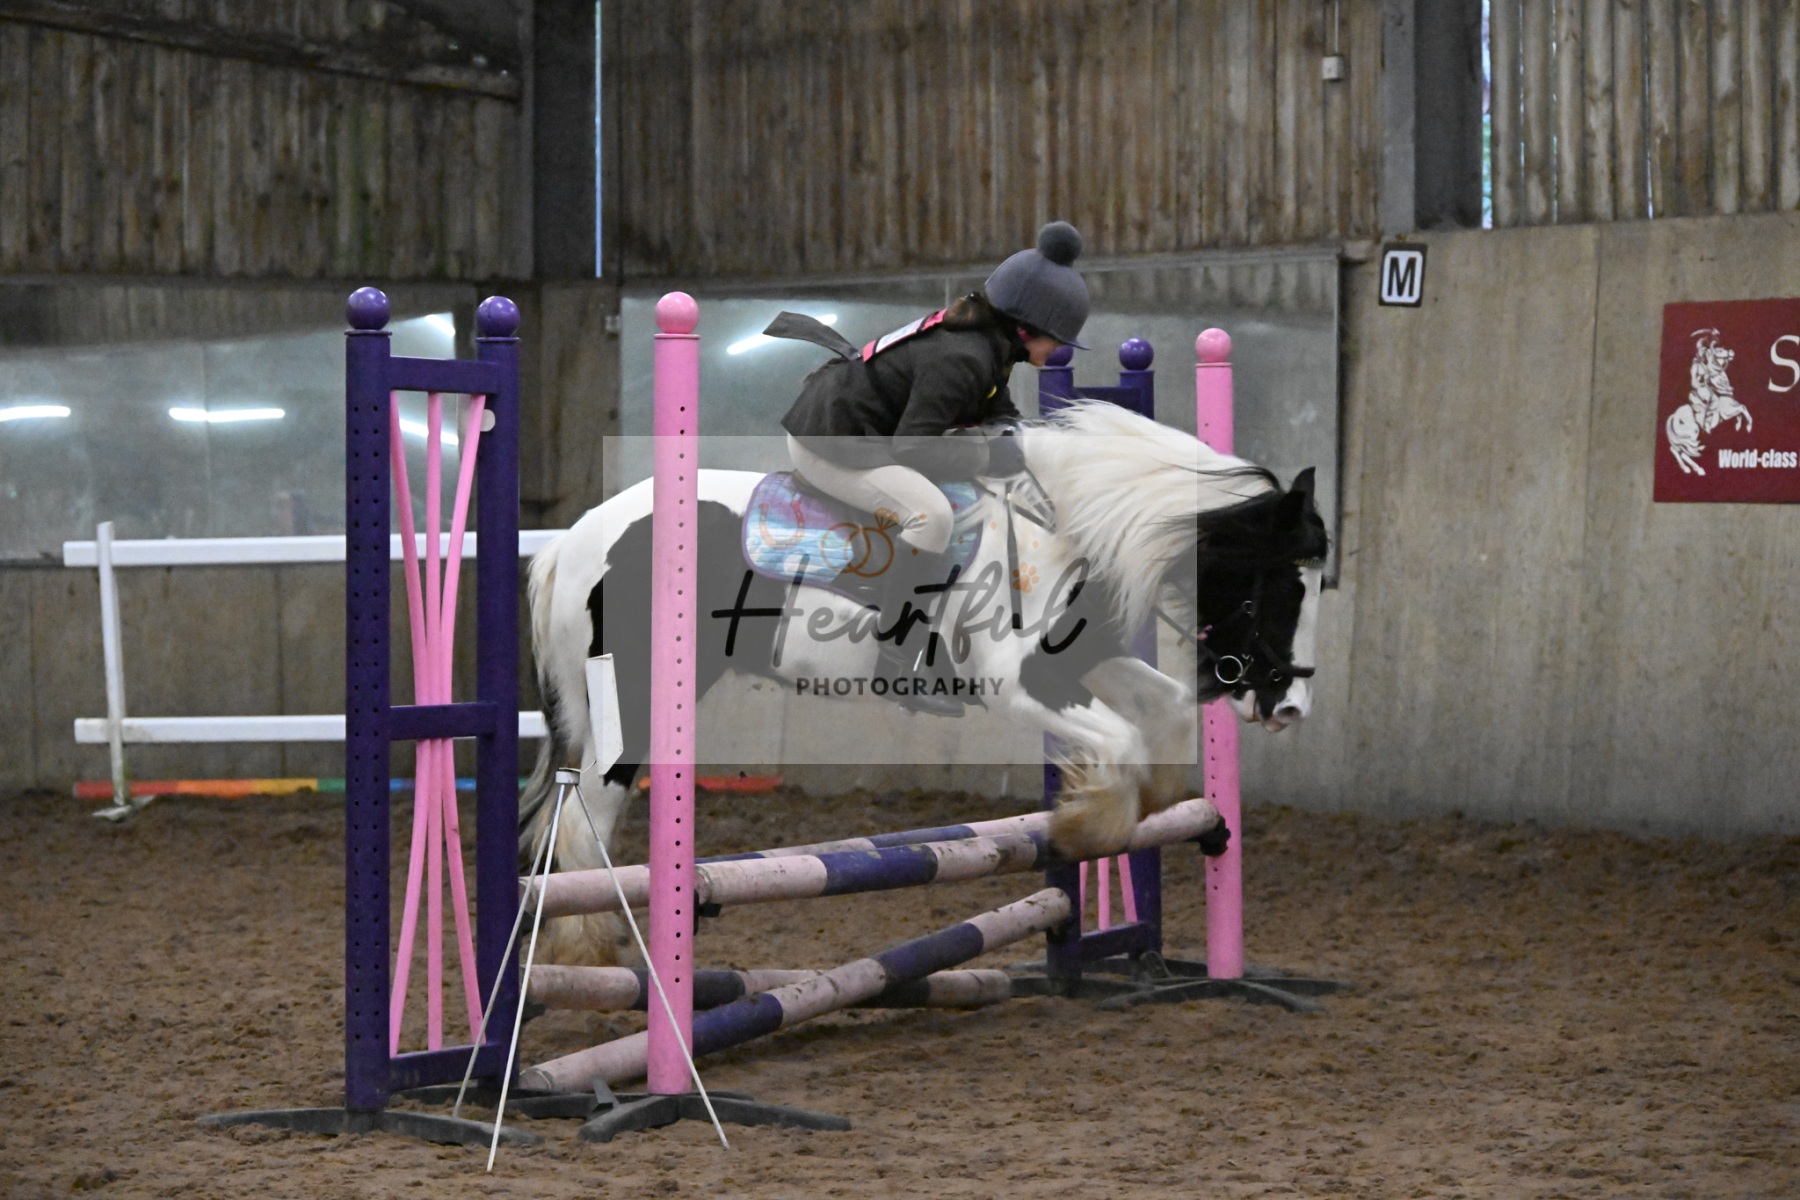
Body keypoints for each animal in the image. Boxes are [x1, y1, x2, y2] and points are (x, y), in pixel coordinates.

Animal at [519, 401, 1329, 965]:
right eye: (1287, 586)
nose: (1291, 706)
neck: (1067, 525)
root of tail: (576, 538)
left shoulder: (1081, 663)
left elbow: (1166, 716)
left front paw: (1151, 807)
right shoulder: (1017, 685)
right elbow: (1123, 738)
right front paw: (1083, 824)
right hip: (635, 701)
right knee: (586, 823)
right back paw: (588, 946)